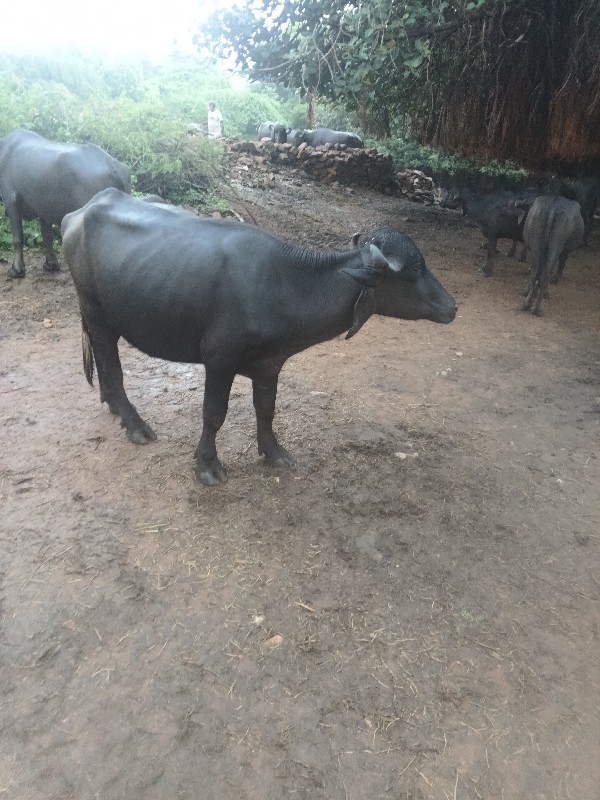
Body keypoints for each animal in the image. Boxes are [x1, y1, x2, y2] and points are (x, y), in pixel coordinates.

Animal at [0, 128, 131, 278]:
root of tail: (113, 165)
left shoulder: (11, 200)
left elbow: (17, 238)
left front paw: (16, 269)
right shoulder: (44, 207)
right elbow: (47, 236)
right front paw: (51, 264)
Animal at [62, 190, 456, 484]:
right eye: (414, 270)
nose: (452, 306)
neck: (281, 283)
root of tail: (79, 213)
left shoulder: (270, 364)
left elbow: (266, 409)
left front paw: (274, 452)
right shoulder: (219, 359)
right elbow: (214, 413)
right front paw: (207, 464)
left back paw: (114, 406)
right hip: (97, 314)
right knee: (113, 366)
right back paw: (135, 424)